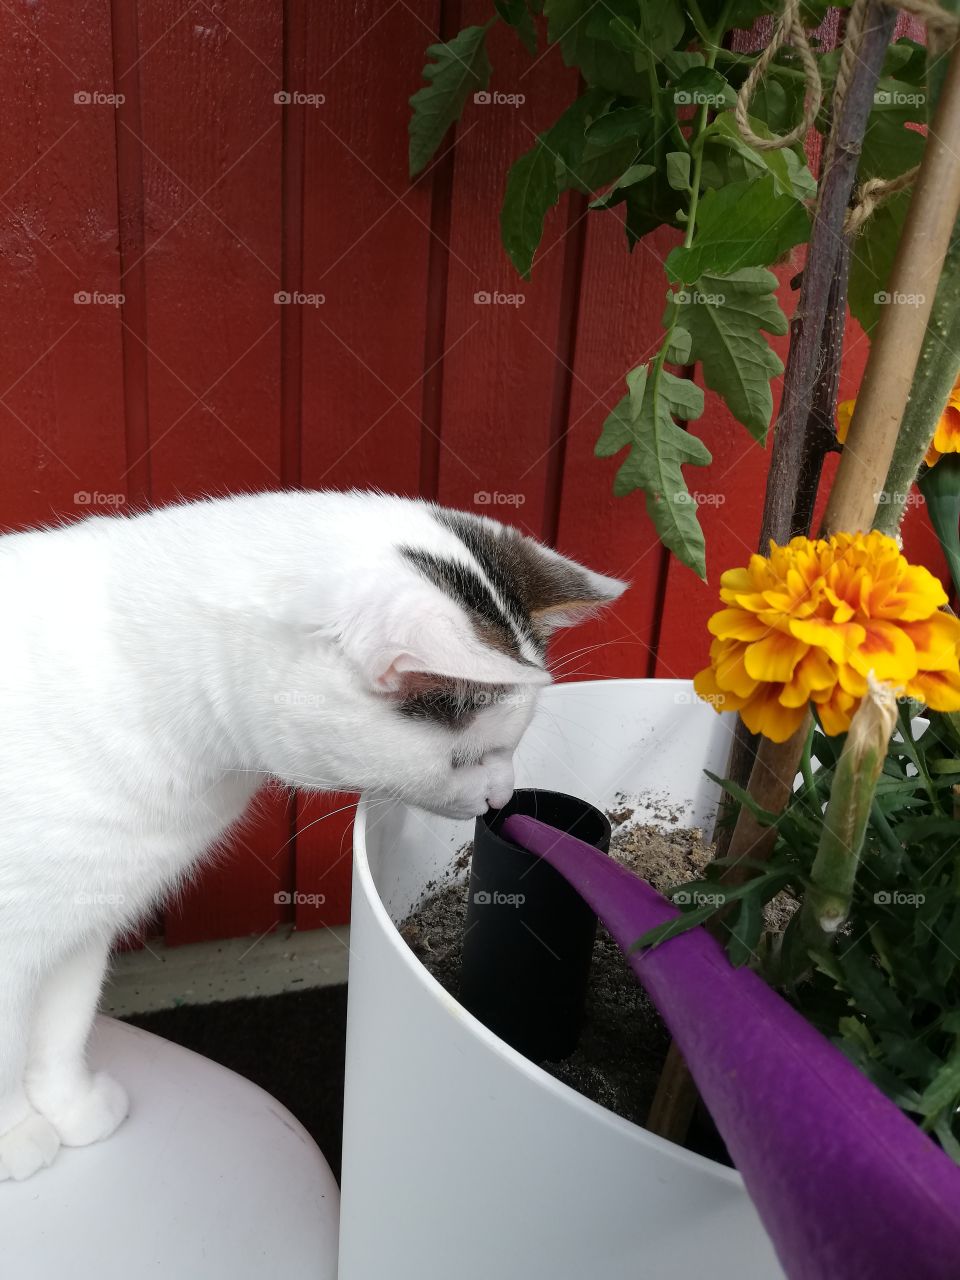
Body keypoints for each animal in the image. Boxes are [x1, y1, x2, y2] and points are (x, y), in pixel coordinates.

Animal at [0, 488, 624, 1177]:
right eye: (468, 758)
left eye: (514, 747)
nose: (502, 797)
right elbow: (10, 1047)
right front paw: (16, 1135)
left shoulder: (86, 917)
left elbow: (62, 1027)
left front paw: (71, 1107)